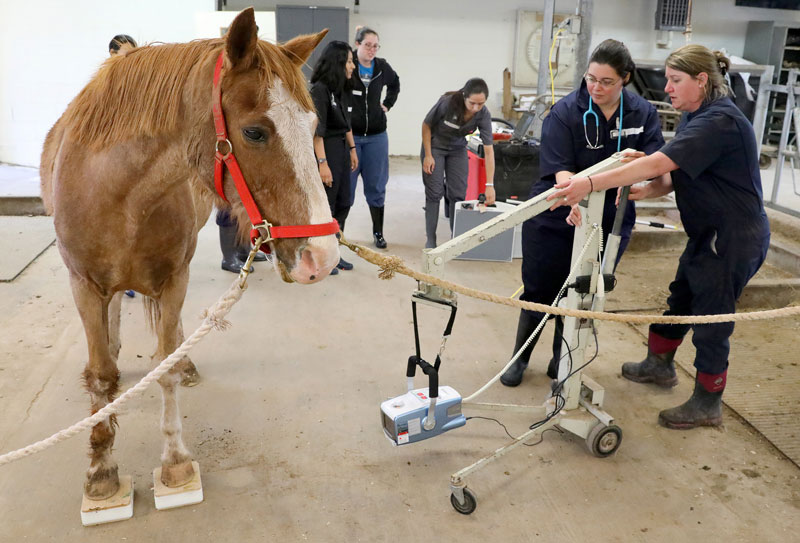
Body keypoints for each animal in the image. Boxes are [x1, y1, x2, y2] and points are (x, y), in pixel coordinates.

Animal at [38, 7, 338, 502]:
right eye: (254, 132)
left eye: (313, 128)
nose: (324, 256)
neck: (120, 197)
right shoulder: (83, 285)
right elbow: (101, 374)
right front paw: (101, 469)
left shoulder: (174, 279)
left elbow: (165, 368)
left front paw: (175, 462)